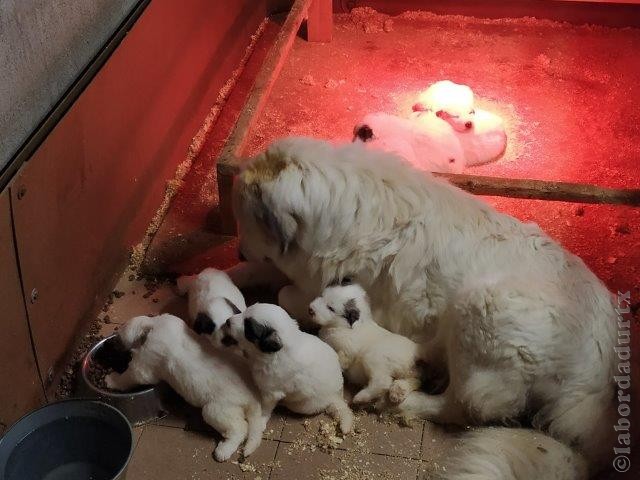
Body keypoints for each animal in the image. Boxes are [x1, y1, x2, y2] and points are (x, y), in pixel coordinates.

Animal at [106, 316, 266, 462]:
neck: (153, 326)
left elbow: (127, 377)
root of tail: (253, 397)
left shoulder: (142, 368)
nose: (112, 344)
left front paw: (111, 380)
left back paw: (223, 451)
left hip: (215, 410)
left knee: (240, 428)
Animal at [221, 304, 356, 436]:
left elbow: (265, 409)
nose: (227, 321)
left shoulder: (271, 393)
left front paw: (261, 420)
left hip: (301, 405)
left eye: (248, 328)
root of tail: (335, 396)